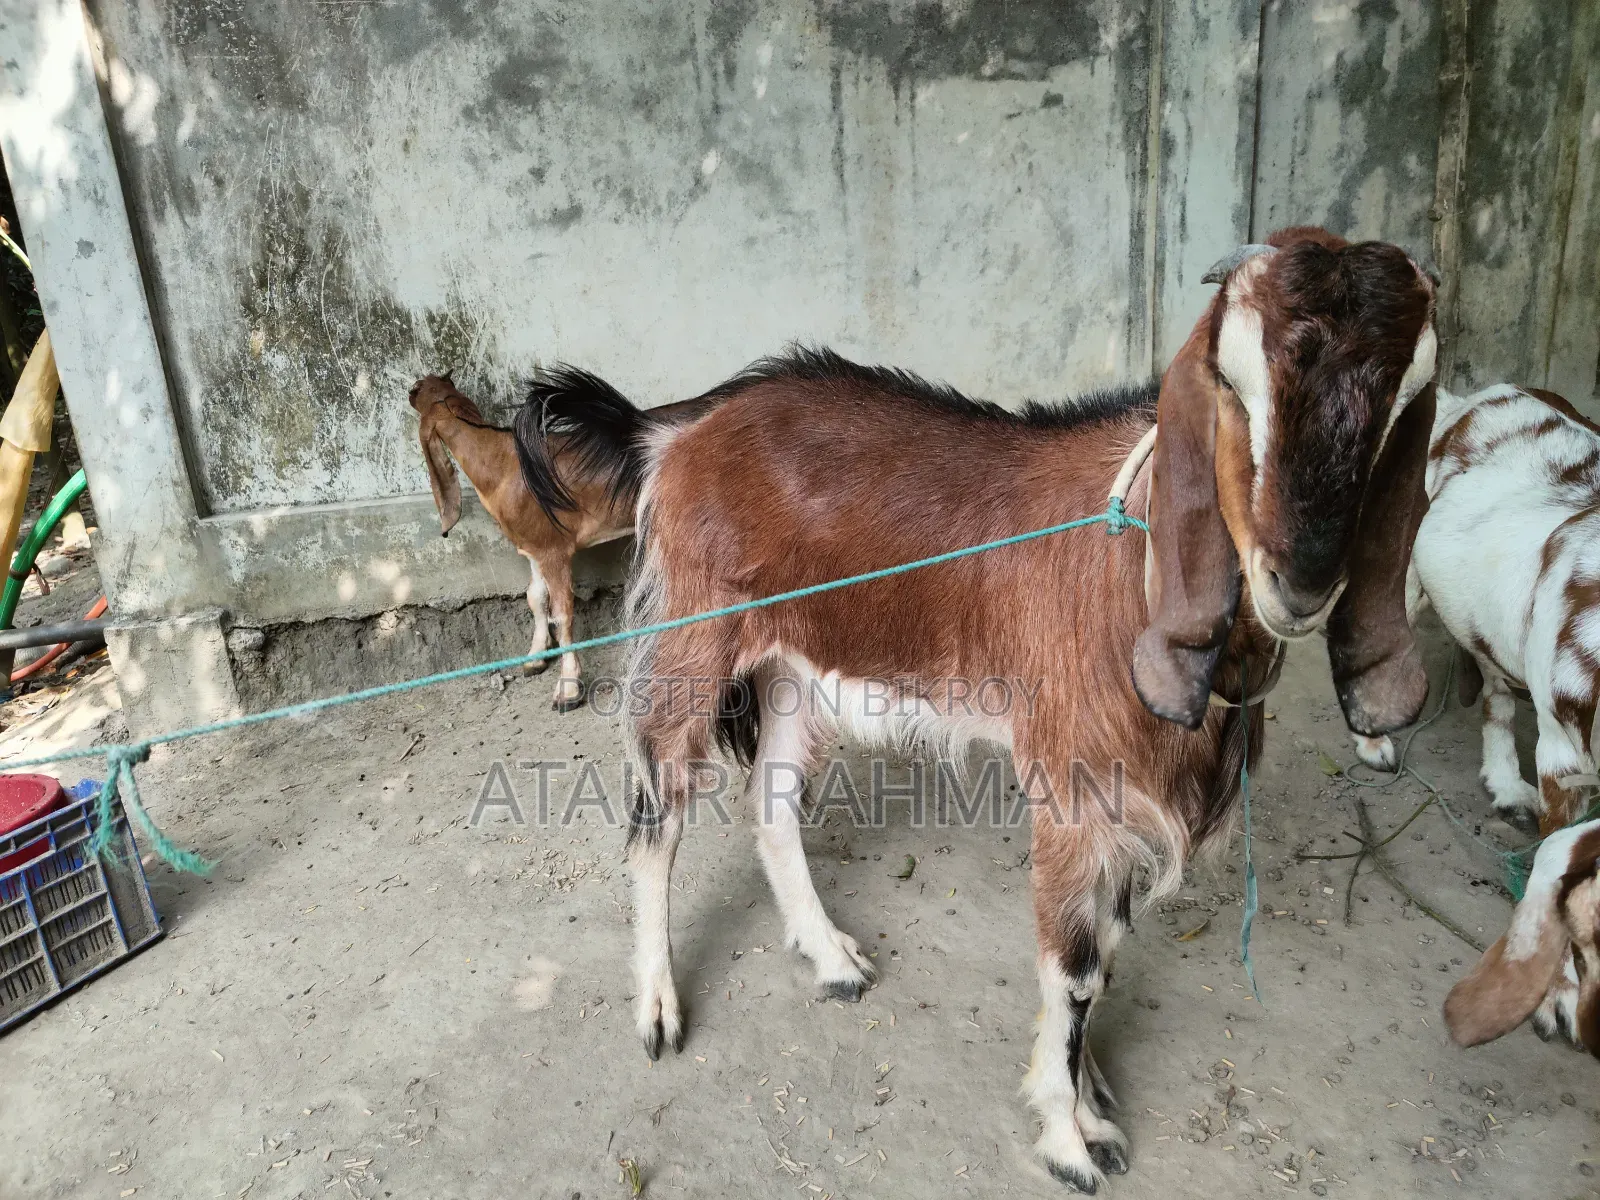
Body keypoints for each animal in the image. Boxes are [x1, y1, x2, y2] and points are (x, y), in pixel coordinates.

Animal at [602, 227, 1438, 1191]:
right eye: (1233, 382)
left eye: (1402, 399)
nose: (1299, 580)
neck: (1132, 571)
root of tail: (681, 426)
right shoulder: (1078, 789)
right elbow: (1072, 971)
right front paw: (1071, 1142)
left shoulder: (1122, 805)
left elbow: (1103, 961)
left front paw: (1089, 1096)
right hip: (694, 639)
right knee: (656, 818)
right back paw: (657, 1008)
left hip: (795, 669)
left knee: (770, 802)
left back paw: (833, 958)